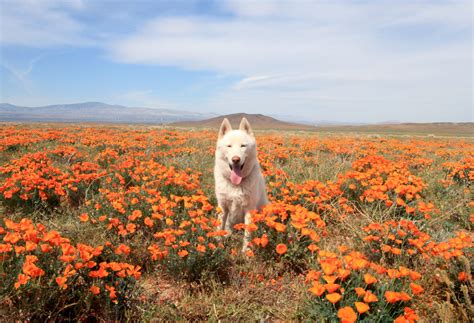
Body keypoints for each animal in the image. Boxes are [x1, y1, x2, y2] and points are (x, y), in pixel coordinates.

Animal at [214, 117, 268, 252]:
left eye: (243, 146)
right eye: (229, 146)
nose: (236, 159)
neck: (235, 185)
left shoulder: (249, 209)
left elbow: (248, 233)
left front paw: (246, 251)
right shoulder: (223, 207)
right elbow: (219, 227)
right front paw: (216, 244)